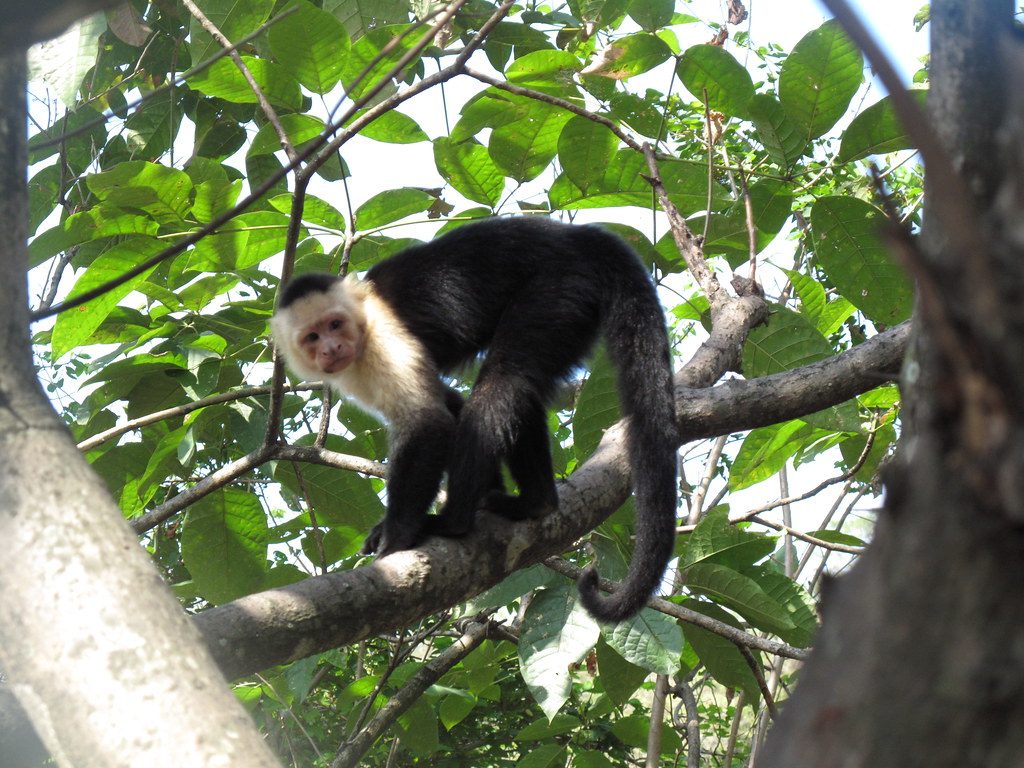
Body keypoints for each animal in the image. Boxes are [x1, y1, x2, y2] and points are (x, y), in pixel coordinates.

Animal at [270, 216, 677, 622]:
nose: (331, 348)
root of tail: (575, 235)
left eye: (335, 325)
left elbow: (429, 423)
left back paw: (455, 521)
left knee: (504, 380)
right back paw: (537, 502)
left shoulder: (381, 341)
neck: (361, 320)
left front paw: (396, 535)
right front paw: (487, 487)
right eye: (312, 337)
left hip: (559, 287)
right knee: (520, 390)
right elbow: (450, 405)